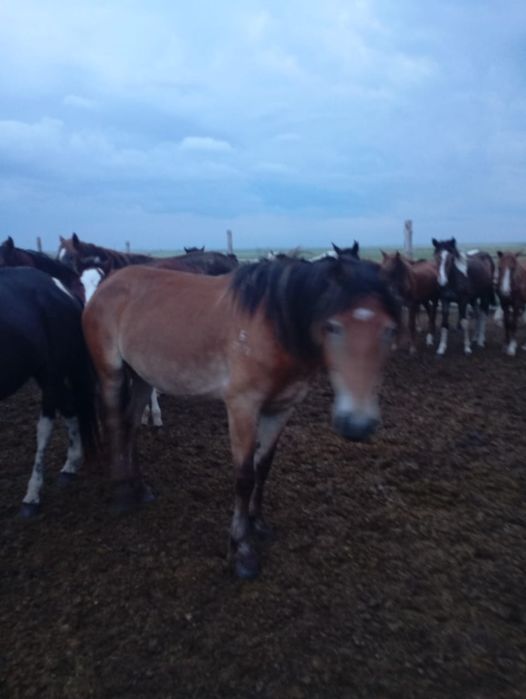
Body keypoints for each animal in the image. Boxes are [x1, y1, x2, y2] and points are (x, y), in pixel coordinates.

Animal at [0, 267, 97, 515]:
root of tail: (60, 289)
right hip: (43, 372)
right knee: (70, 407)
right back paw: (71, 464)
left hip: (51, 370)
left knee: (45, 426)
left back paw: (32, 495)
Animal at [82, 256, 400, 579]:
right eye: (333, 326)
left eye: (389, 329)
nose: (356, 424)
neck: (273, 325)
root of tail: (107, 281)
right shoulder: (242, 406)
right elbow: (244, 476)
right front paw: (242, 550)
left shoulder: (281, 408)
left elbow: (263, 467)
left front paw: (258, 522)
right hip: (111, 373)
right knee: (115, 424)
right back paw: (122, 494)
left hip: (142, 377)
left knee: (130, 425)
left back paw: (140, 488)